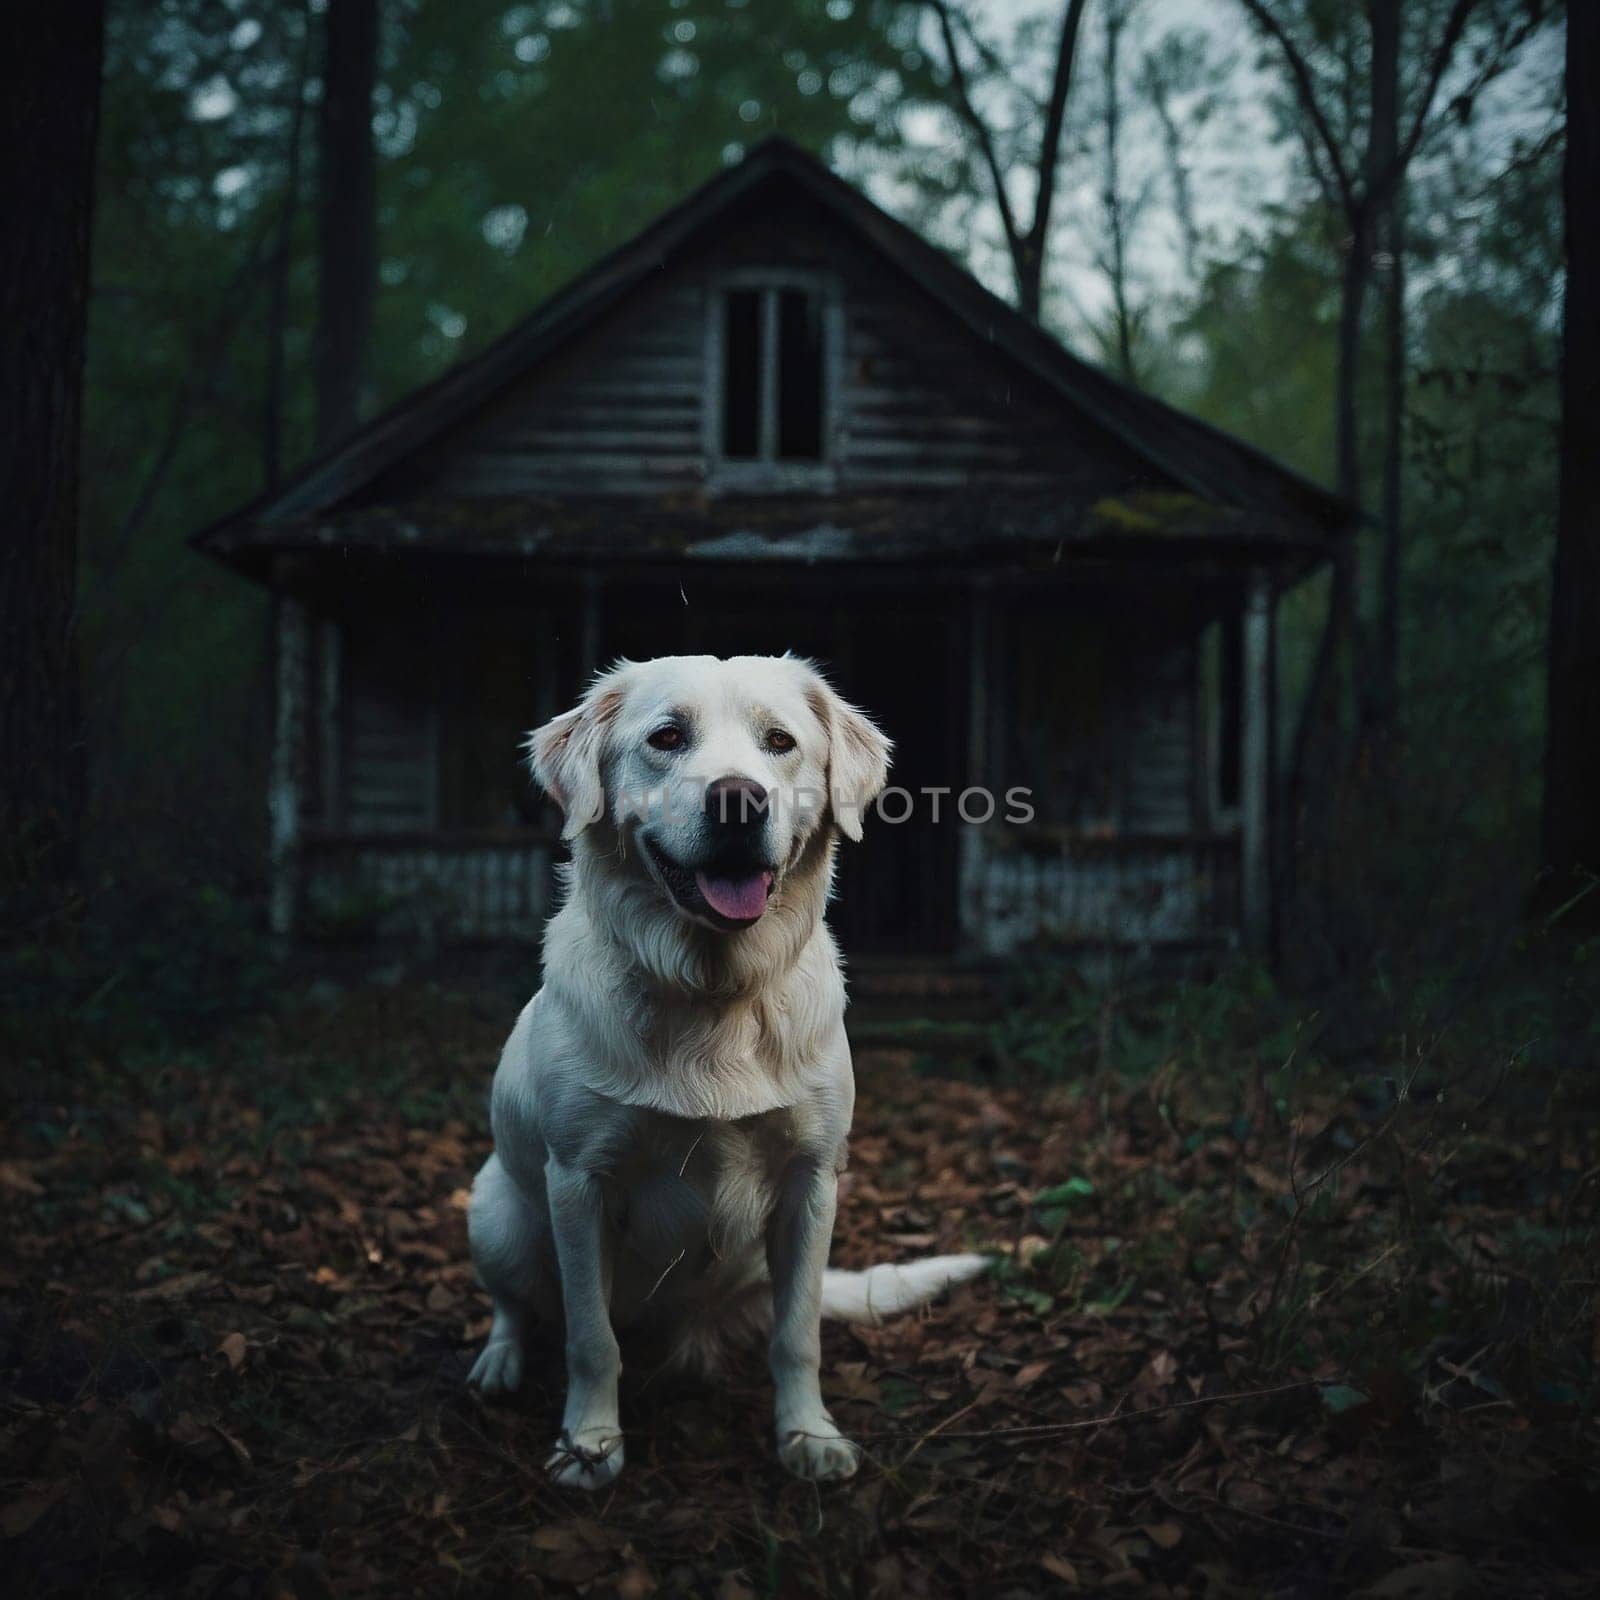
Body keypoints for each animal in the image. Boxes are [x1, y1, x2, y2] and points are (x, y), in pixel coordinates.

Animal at [467, 649, 985, 1484]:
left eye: (779, 742)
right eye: (667, 737)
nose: (738, 800)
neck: (714, 990)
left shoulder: (813, 1181)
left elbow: (797, 1336)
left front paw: (807, 1434)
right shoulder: (577, 1182)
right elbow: (590, 1338)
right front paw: (590, 1444)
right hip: (496, 1212)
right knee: (515, 1306)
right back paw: (500, 1363)